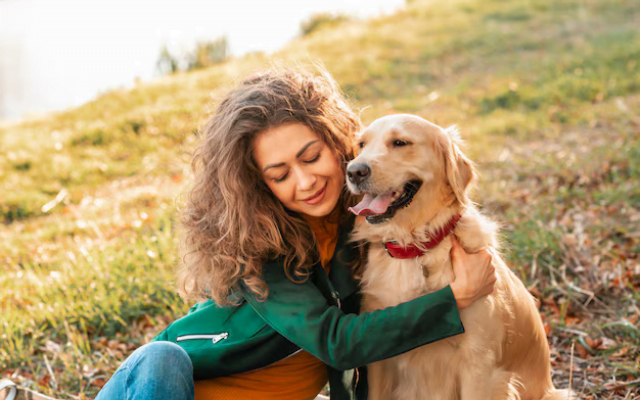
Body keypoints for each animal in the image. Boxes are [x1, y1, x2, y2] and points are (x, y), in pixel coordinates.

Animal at [344, 115, 568, 400]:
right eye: (361, 144)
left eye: (400, 142)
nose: (354, 171)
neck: (417, 247)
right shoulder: (379, 362)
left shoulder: (480, 365)